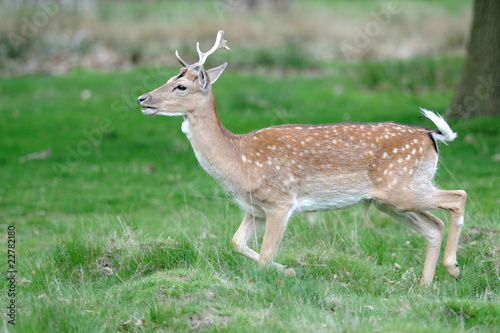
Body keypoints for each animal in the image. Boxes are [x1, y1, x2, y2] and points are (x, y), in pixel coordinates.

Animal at [136, 31, 464, 286]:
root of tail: (431, 135)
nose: (142, 99)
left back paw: (453, 268)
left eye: (181, 86)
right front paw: (290, 270)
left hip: (402, 188)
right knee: (434, 226)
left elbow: (265, 256)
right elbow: (237, 242)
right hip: (389, 200)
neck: (238, 159)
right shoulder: (255, 208)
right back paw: (424, 285)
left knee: (457, 197)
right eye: (168, 78)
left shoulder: (280, 202)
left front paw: (284, 274)